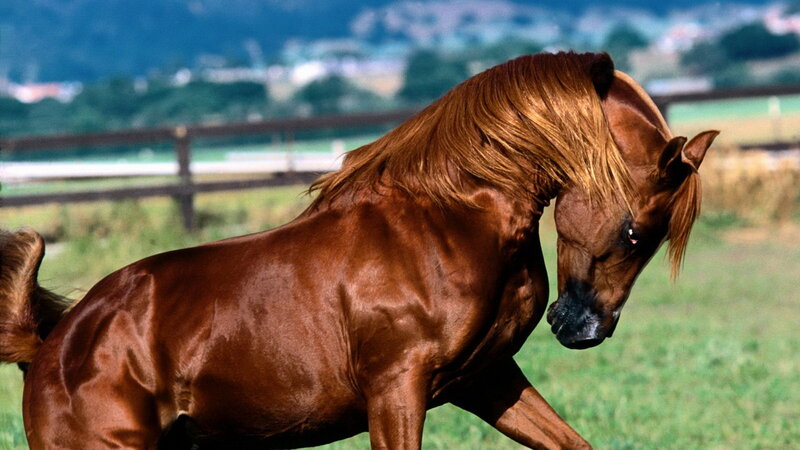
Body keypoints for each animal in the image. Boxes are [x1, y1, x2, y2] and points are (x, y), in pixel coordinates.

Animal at [0, 52, 717, 449]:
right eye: (635, 232)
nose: (583, 328)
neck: (449, 221)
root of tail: (52, 344)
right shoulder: (396, 389)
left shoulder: (486, 379)